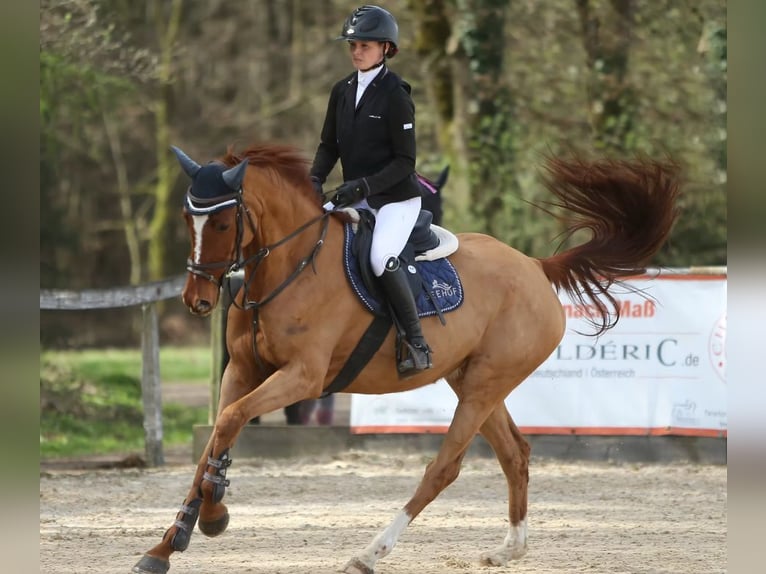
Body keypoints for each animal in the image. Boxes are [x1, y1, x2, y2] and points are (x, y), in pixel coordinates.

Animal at [132, 143, 680, 574]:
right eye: (187, 219)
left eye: (224, 221)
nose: (197, 301)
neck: (290, 267)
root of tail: (534, 266)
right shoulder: (243, 371)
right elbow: (218, 433)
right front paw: (169, 543)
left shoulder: (303, 377)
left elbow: (230, 422)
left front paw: (213, 515)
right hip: (473, 381)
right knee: (514, 453)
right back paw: (510, 550)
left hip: (485, 384)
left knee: (445, 467)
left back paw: (370, 552)